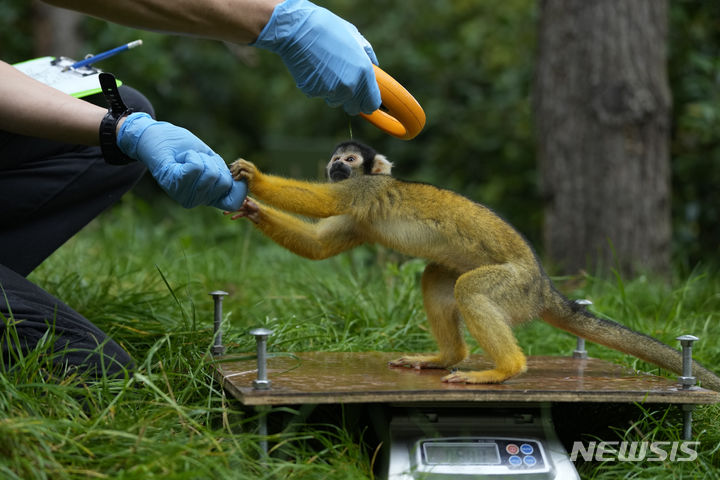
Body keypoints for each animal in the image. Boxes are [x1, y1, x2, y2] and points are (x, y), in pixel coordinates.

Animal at [228, 140, 720, 390]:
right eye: (335, 157)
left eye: (349, 159)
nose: (334, 163)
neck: (371, 180)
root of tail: (545, 287)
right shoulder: (357, 215)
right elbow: (318, 247)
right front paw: (251, 208)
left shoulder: (362, 191)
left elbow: (322, 199)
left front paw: (255, 179)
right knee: (437, 276)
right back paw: (447, 357)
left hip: (516, 287)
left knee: (473, 290)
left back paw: (504, 369)